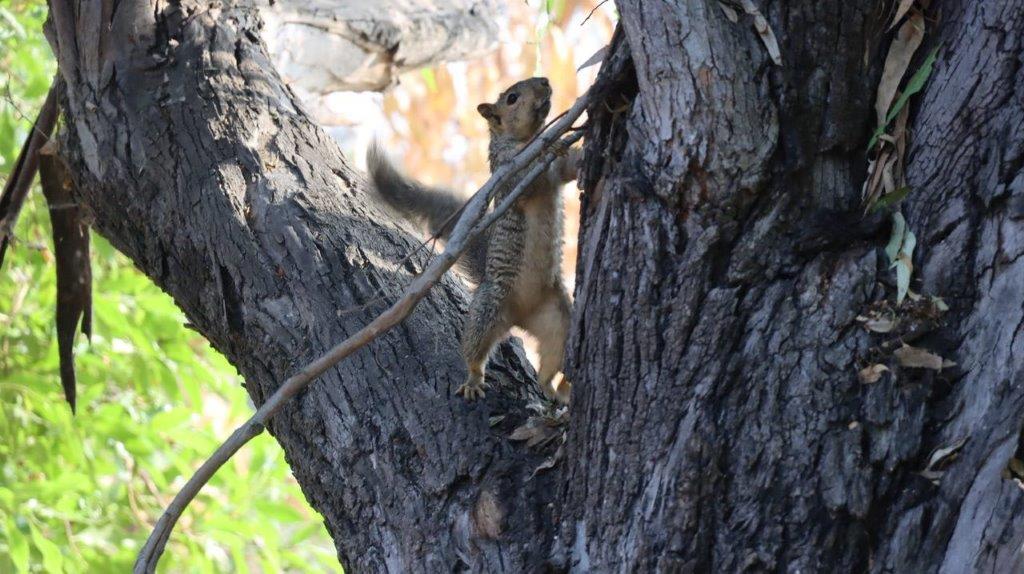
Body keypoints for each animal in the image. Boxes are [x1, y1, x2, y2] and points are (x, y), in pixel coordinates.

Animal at [368, 77, 581, 403]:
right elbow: (526, 183)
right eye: (512, 98)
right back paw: (473, 379)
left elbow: (568, 170)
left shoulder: (558, 174)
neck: (525, 139)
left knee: (550, 362)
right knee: (474, 348)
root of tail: (520, 317)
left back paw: (552, 391)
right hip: (487, 309)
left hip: (557, 319)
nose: (545, 82)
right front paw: (551, 146)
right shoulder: (507, 170)